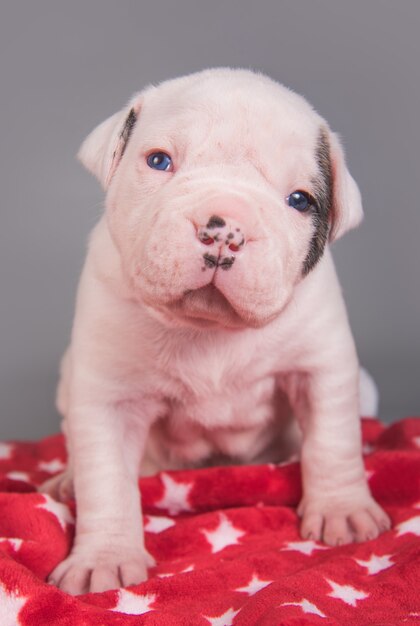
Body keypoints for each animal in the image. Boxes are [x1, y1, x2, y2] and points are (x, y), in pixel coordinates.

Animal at [40, 69, 390, 596]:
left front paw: (342, 510)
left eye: (300, 200)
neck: (207, 328)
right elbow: (106, 478)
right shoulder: (107, 394)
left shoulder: (321, 366)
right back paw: (67, 479)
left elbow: (333, 440)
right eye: (159, 161)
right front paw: (105, 558)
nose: (225, 230)